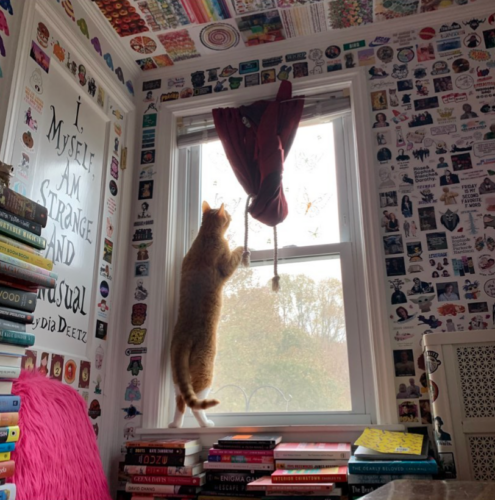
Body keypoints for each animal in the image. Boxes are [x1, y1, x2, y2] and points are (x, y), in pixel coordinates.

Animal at [169, 199, 244, 426]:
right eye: (228, 215)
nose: (232, 215)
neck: (206, 236)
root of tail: (184, 336)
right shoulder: (226, 263)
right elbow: (234, 256)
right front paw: (243, 247)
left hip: (177, 374)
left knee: (181, 400)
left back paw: (175, 425)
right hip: (205, 369)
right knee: (196, 404)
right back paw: (205, 423)